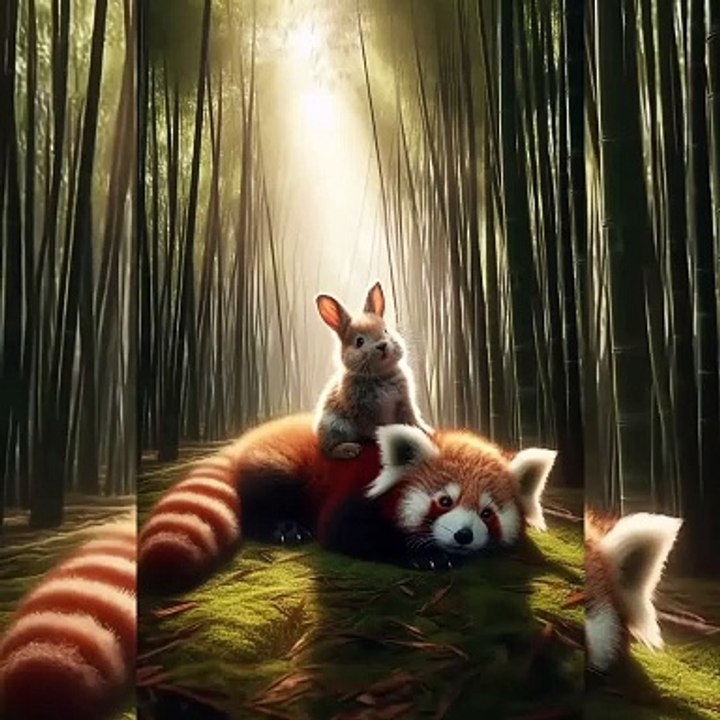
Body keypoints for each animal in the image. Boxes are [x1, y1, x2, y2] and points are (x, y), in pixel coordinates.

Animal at [314, 281, 433, 459]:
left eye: (385, 331)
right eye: (359, 341)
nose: (382, 346)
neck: (380, 374)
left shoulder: (404, 402)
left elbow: (412, 419)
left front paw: (427, 431)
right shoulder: (366, 414)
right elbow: (375, 429)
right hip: (334, 428)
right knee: (328, 450)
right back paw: (348, 449)